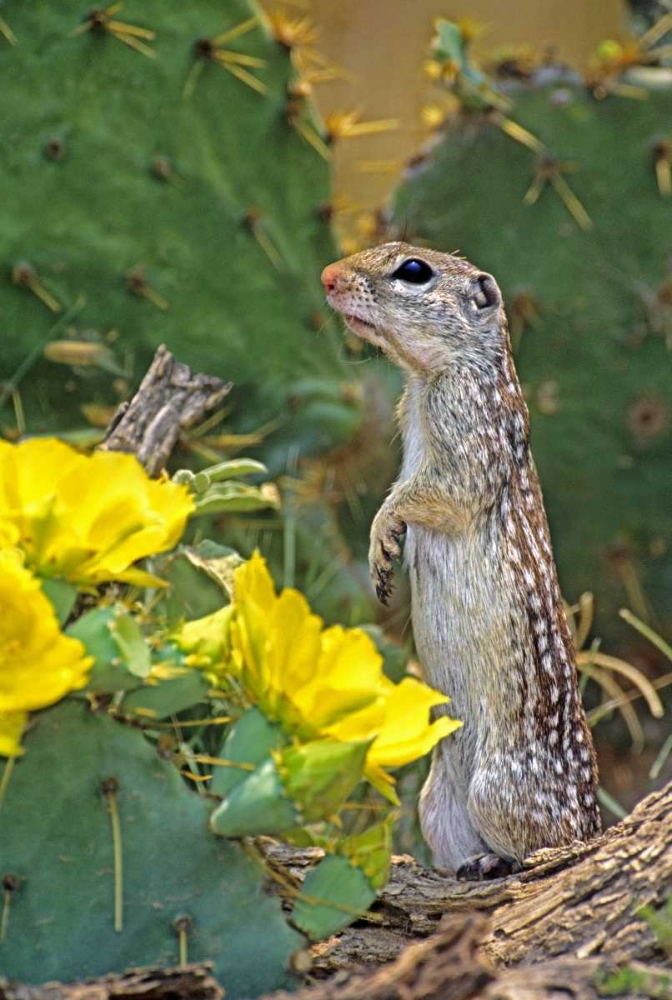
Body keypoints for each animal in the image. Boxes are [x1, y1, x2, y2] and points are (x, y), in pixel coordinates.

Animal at [321, 242, 600, 881]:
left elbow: (427, 495)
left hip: (496, 791)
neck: (428, 377)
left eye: (414, 271)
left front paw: (383, 536)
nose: (327, 276)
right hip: (437, 805)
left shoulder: (467, 430)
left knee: (547, 844)